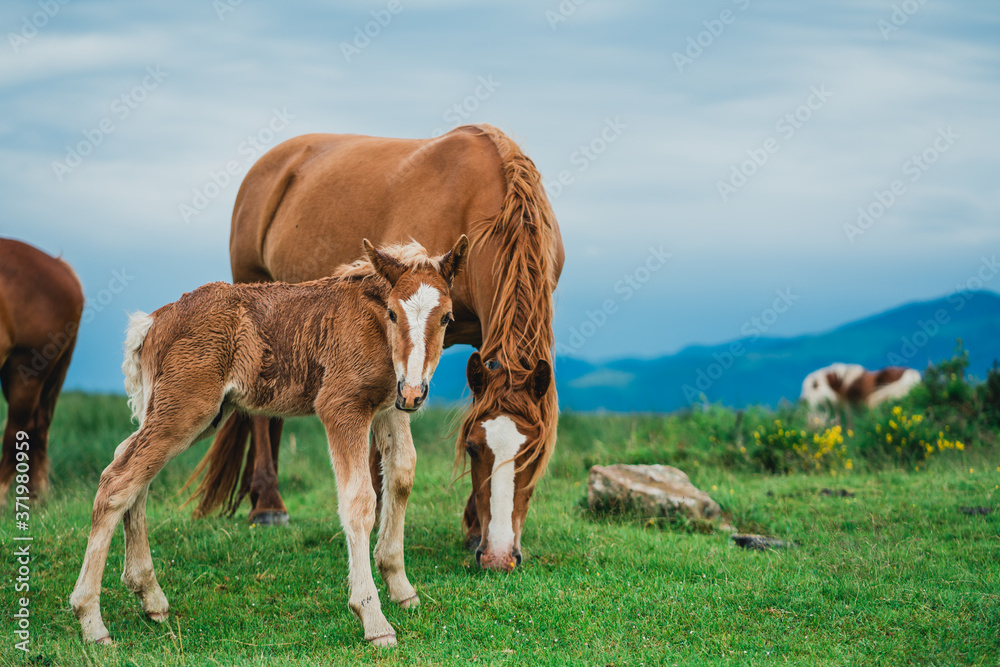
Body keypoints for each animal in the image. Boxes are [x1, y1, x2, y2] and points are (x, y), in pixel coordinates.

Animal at [70, 236, 468, 648]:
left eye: (446, 318)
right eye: (392, 313)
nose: (415, 393)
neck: (371, 321)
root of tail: (153, 321)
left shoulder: (389, 404)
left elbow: (402, 474)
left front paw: (400, 586)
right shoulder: (342, 407)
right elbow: (359, 501)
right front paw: (373, 620)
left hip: (193, 413)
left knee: (131, 467)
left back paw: (149, 596)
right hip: (185, 409)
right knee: (119, 481)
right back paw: (92, 622)